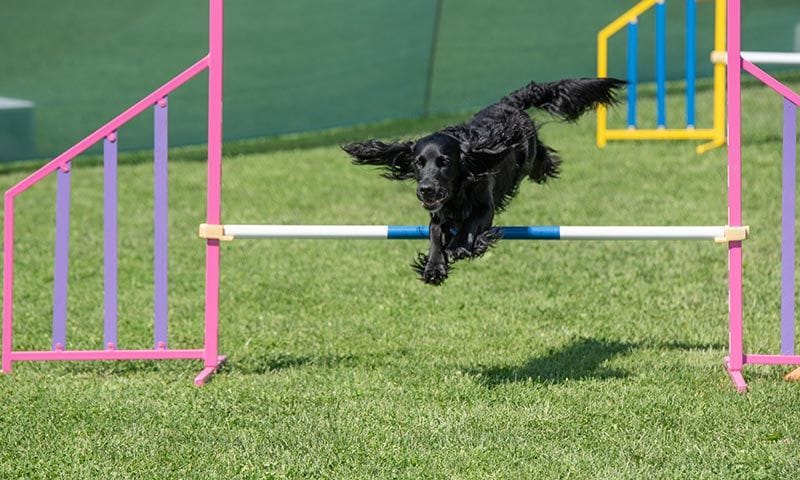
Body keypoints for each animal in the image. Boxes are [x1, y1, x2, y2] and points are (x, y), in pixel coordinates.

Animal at [340, 78, 620, 284]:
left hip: (529, 156)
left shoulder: (485, 207)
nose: (425, 190)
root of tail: (509, 102)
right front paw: (434, 268)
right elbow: (434, 236)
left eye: (444, 162)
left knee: (541, 157)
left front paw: (459, 247)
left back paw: (547, 165)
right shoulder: (438, 215)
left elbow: (471, 223)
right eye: (418, 162)